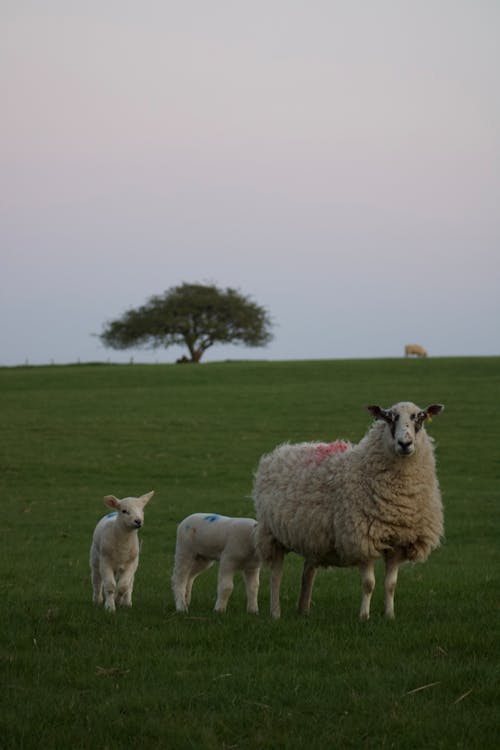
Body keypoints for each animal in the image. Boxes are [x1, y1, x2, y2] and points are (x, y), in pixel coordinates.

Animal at [252, 406, 444, 624]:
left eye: (420, 417)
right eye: (388, 417)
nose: (405, 443)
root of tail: (279, 452)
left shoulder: (399, 543)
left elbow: (391, 585)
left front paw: (390, 615)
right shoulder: (362, 539)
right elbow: (369, 584)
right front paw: (364, 616)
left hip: (313, 537)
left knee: (307, 572)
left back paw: (303, 610)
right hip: (272, 534)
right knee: (276, 575)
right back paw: (275, 613)